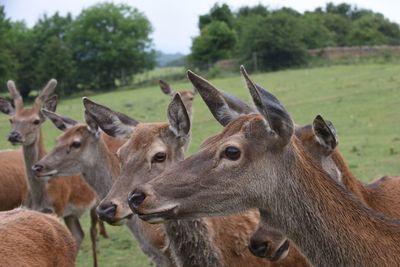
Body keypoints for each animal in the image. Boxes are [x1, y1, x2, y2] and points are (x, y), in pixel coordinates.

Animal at [0, 80, 106, 267]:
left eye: (36, 120)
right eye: (12, 120)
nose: (14, 135)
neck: (41, 193)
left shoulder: (58, 205)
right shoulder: (35, 208)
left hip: (95, 201)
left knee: (92, 231)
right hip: (71, 215)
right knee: (79, 234)